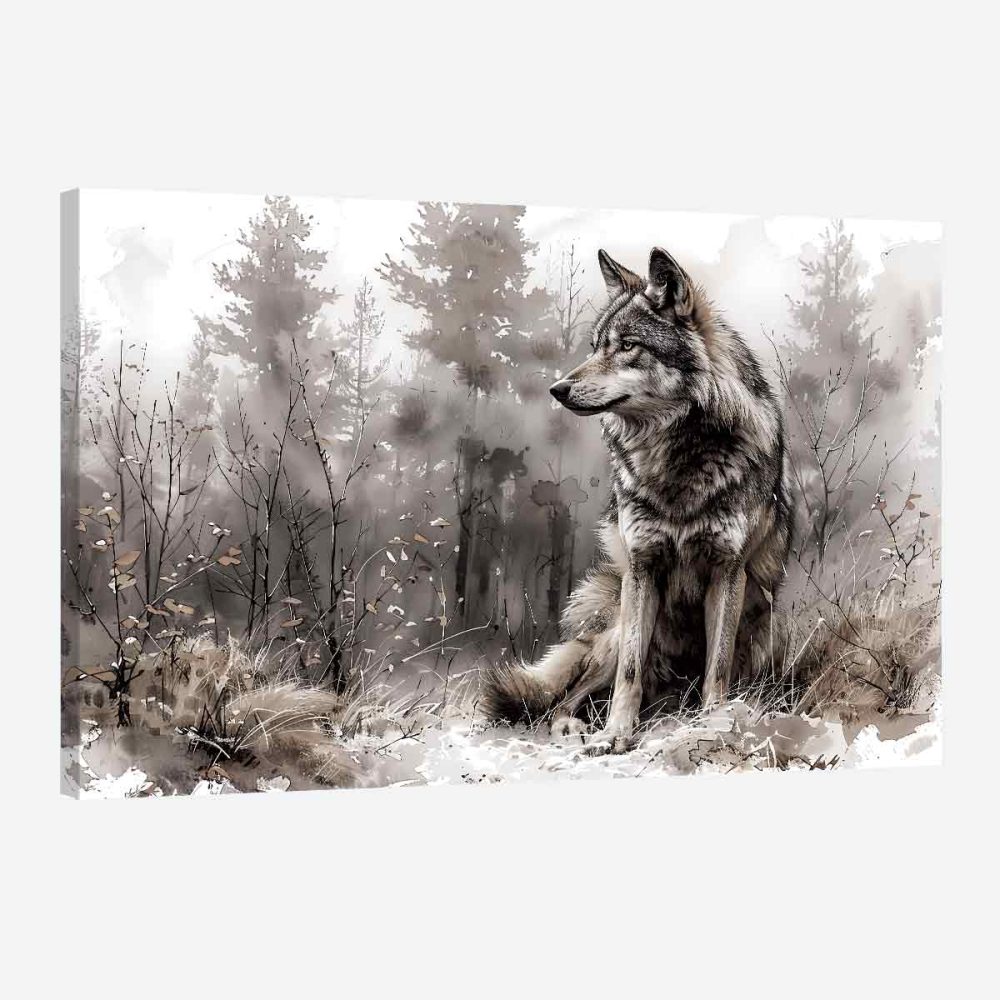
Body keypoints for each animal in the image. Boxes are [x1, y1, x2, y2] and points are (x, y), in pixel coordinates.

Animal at [481, 246, 794, 753]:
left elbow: (718, 668)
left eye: (628, 345)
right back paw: (575, 727)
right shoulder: (643, 568)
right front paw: (616, 734)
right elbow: (630, 673)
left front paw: (712, 725)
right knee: (567, 698)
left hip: (766, 623)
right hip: (618, 616)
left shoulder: (728, 572)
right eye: (595, 347)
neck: (675, 457)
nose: (558, 389)